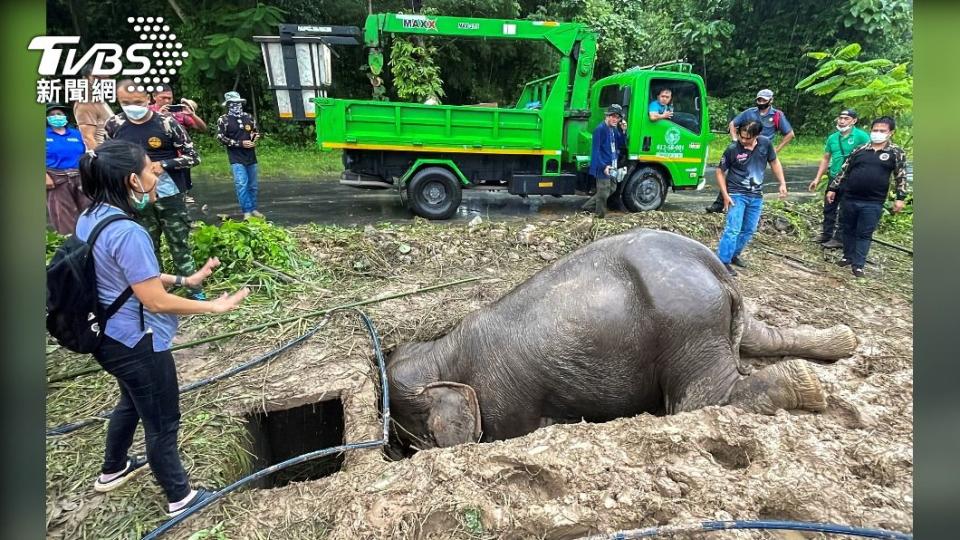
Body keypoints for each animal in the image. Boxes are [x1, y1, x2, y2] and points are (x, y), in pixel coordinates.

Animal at [386, 226, 860, 450]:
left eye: (415, 439)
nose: (405, 451)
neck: (443, 350)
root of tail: (714, 265)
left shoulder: (506, 400)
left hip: (687, 326)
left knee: (700, 401)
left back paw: (808, 385)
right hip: (715, 317)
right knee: (761, 338)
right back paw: (846, 342)